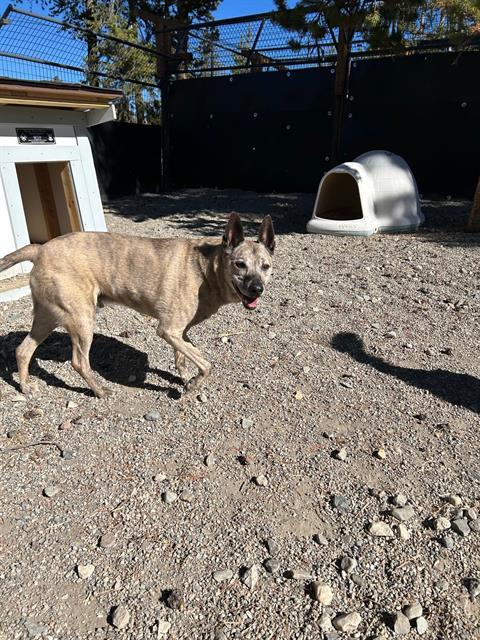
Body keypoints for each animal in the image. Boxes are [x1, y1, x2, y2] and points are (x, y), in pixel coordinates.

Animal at [0, 214, 274, 396]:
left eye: (265, 267)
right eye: (240, 264)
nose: (257, 289)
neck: (206, 269)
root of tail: (40, 249)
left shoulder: (180, 332)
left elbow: (184, 357)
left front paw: (185, 377)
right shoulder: (168, 330)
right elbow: (206, 364)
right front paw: (194, 384)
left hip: (48, 317)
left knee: (23, 350)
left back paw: (25, 386)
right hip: (82, 320)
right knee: (79, 362)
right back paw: (100, 391)